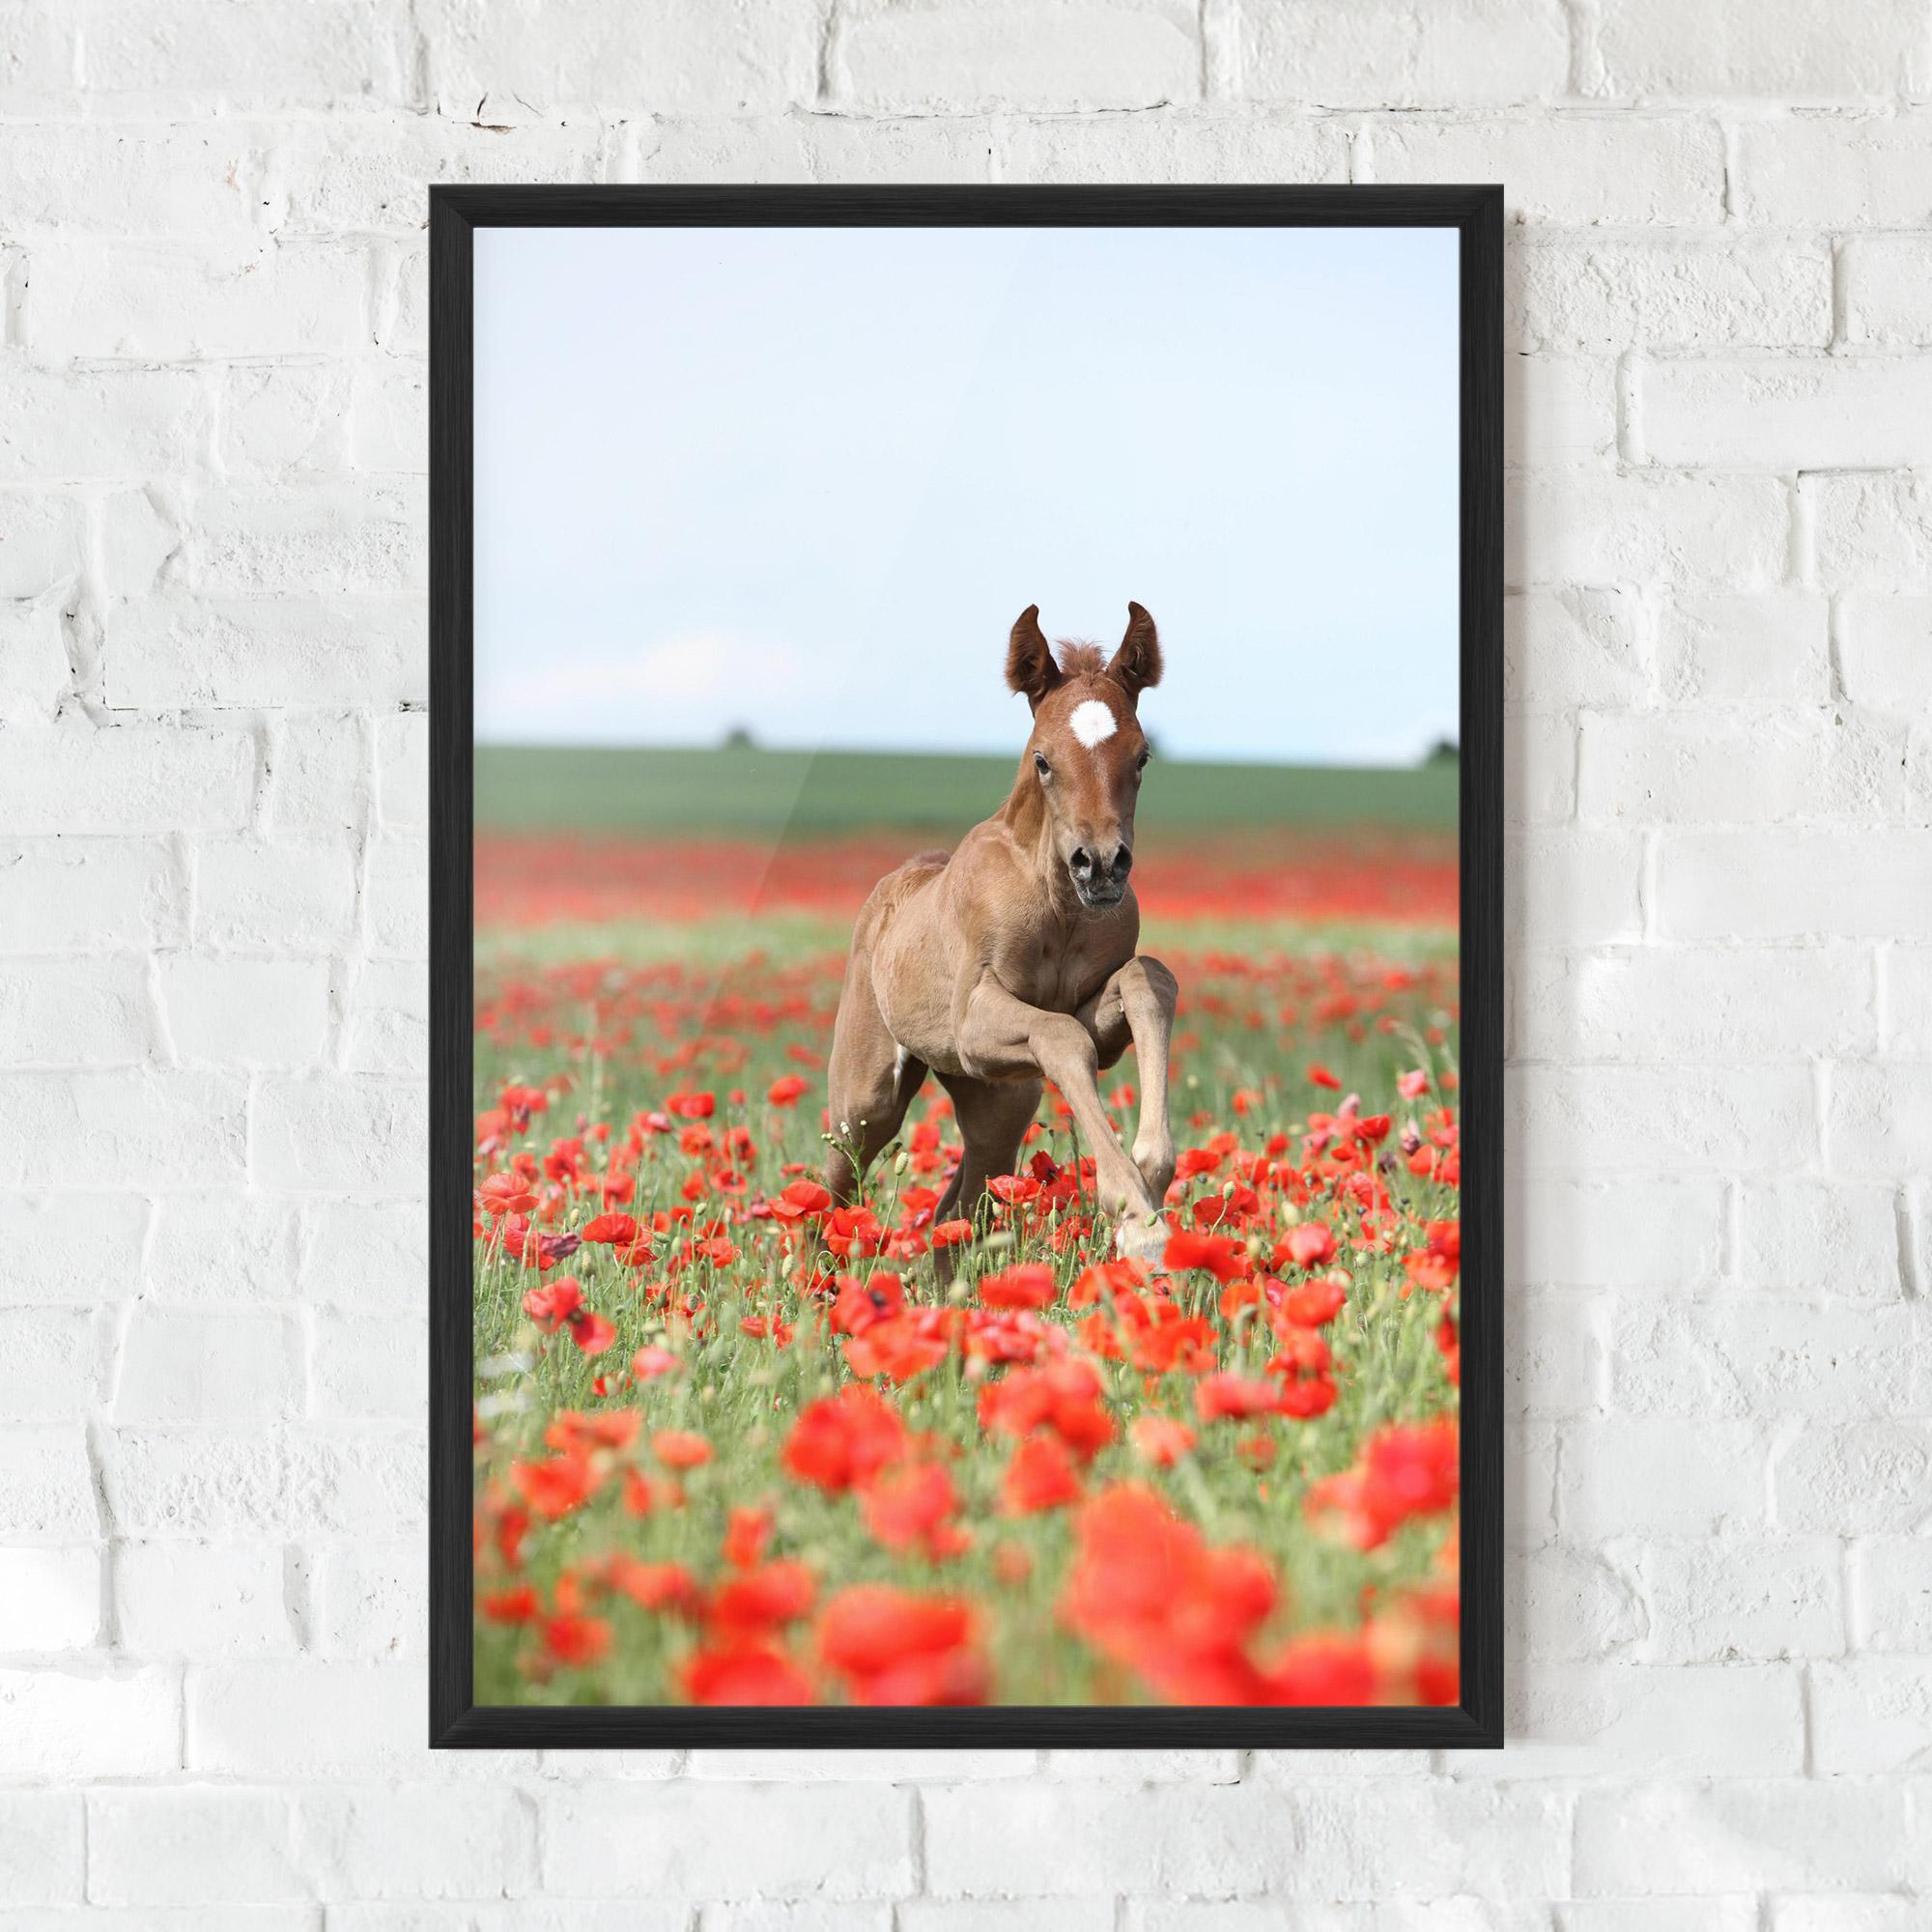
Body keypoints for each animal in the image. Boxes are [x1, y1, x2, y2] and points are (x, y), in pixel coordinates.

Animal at [822, 601, 1180, 1269]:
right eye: (1043, 759)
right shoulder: (973, 1024)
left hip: (998, 1101)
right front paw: (1136, 1217)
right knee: (833, 1187)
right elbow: (1061, 1036)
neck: (1058, 907)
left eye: (1142, 757)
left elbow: (1147, 981)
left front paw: (1150, 1176)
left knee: (956, 1212)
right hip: (868, 1098)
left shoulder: (1092, 1018)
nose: (1100, 865)